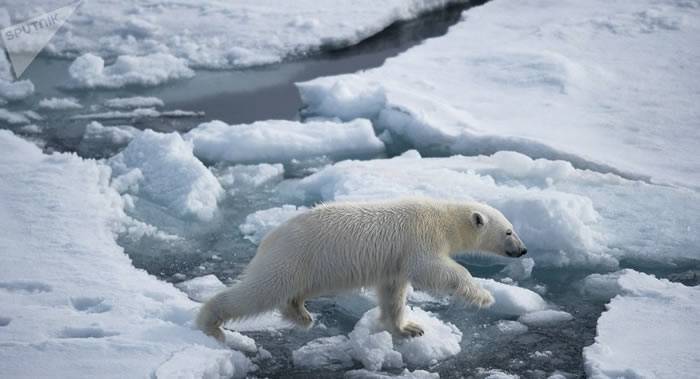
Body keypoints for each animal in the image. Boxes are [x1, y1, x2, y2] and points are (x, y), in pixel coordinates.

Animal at [197, 199, 524, 342]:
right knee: (260, 291)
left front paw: (408, 328)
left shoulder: (395, 260)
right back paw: (211, 324)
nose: (522, 250)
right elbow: (430, 269)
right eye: (509, 231)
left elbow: (393, 292)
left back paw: (302, 316)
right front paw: (484, 296)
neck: (442, 218)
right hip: (292, 257)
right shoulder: (419, 238)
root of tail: (269, 237)